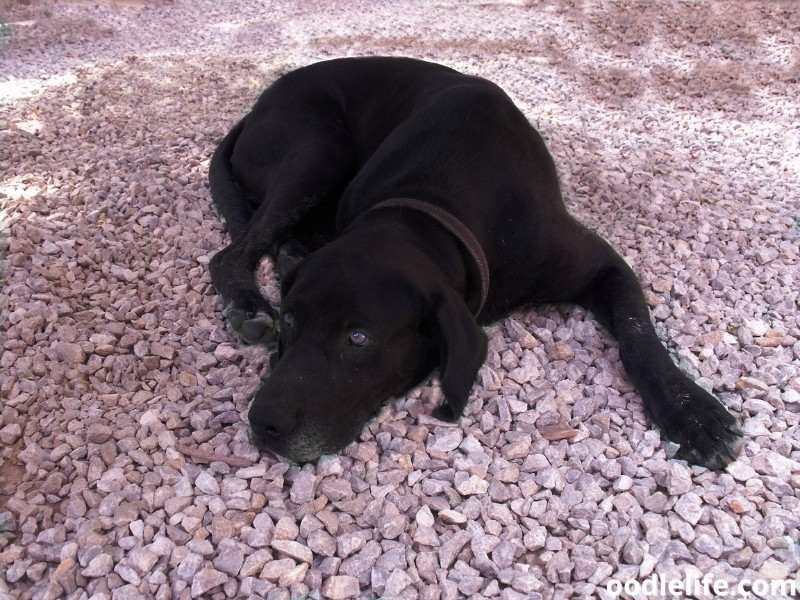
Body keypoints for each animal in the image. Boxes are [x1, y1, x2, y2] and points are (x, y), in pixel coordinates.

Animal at [208, 56, 744, 466]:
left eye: (358, 338)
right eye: (291, 320)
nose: (261, 423)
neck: (429, 206)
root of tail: (257, 105)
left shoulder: (602, 264)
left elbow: (639, 335)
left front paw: (691, 412)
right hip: (318, 150)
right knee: (229, 253)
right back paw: (249, 303)